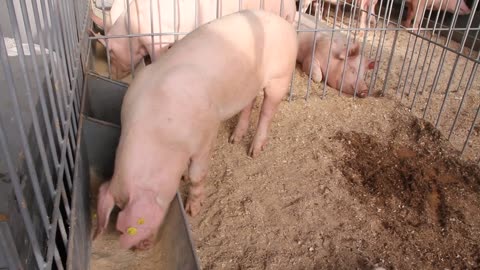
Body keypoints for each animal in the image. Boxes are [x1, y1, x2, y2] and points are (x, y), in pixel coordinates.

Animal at [92, 8, 298, 251]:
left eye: (131, 226)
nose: (141, 247)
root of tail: (285, 24)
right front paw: (182, 177)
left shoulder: (206, 134)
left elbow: (197, 175)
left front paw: (193, 209)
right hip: (249, 85)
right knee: (249, 104)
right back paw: (234, 139)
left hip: (280, 77)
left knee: (267, 111)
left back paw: (254, 151)